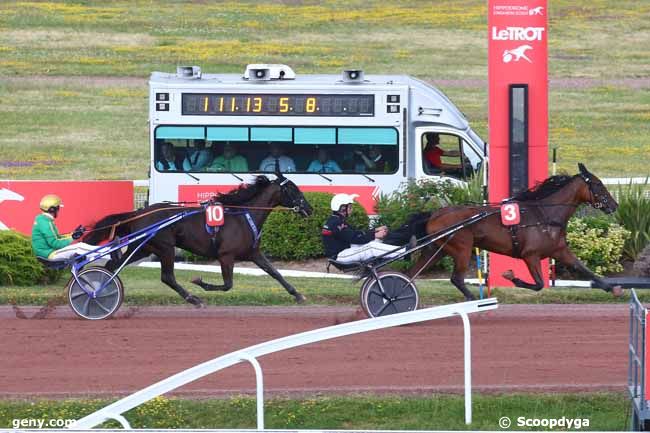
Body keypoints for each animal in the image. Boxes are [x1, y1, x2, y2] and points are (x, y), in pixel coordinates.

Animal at [83, 174, 312, 306]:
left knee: (113, 265)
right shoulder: (226, 255)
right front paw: (200, 282)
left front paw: (298, 294)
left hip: (144, 248)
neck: (243, 215)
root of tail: (138, 212)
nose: (309, 209)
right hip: (165, 248)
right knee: (167, 277)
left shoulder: (253, 253)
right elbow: (227, 284)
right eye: (294, 189)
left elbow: (275, 273)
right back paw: (193, 298)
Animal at [404, 164, 616, 298]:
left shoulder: (559, 251)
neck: (545, 214)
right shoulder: (531, 255)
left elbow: (583, 268)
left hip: (436, 250)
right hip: (462, 247)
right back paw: (474, 300)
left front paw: (612, 288)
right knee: (456, 278)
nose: (614, 205)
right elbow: (538, 284)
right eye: (598, 184)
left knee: (410, 274)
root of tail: (434, 214)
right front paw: (511, 277)